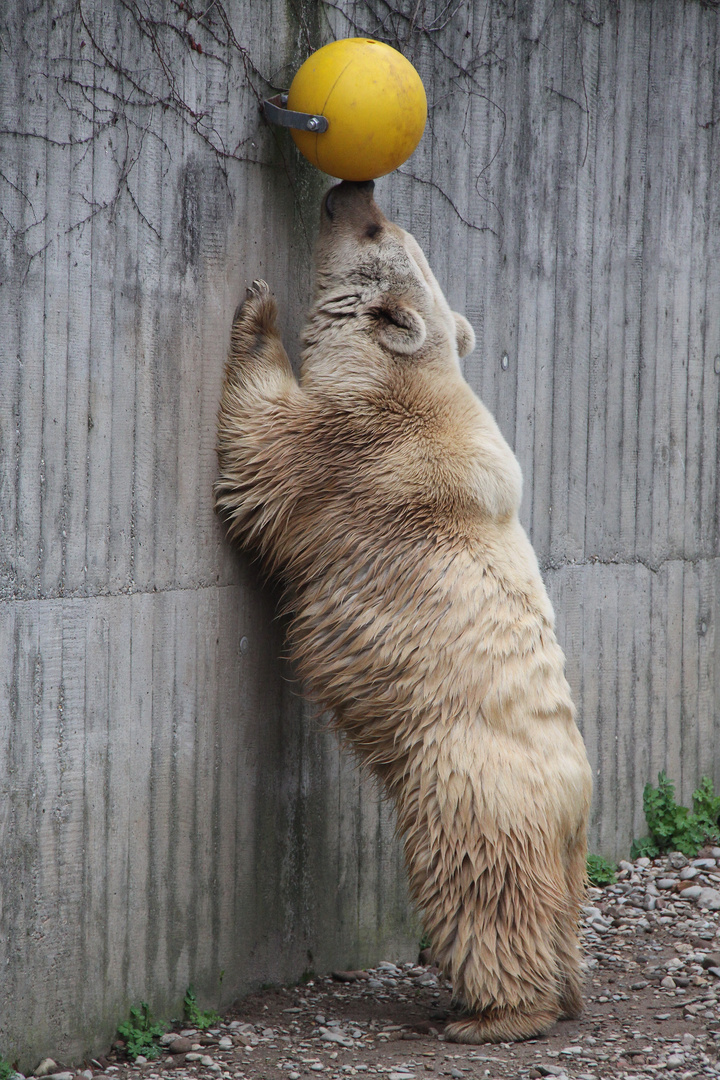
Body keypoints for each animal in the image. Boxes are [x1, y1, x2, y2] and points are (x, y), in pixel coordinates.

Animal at [215, 181, 595, 1041]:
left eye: (375, 229)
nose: (348, 188)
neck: (410, 379)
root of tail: (573, 805)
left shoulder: (349, 450)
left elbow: (263, 444)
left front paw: (258, 310)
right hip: (553, 840)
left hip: (467, 786)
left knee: (482, 890)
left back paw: (493, 1013)